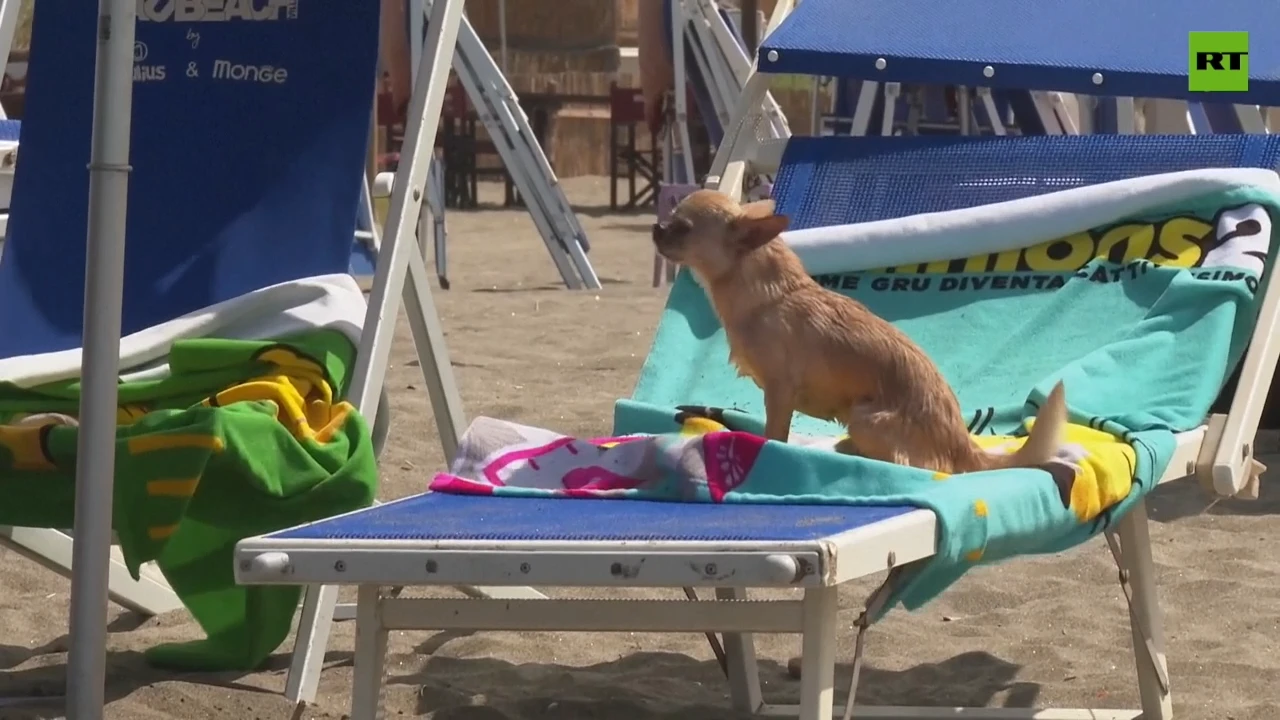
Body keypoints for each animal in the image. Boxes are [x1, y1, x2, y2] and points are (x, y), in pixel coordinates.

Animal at [655, 188, 1064, 474]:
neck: (773, 295)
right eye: (670, 218)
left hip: (865, 417)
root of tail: (963, 447)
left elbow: (775, 433)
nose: (657, 227)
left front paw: (772, 450)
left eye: (683, 228)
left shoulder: (780, 391)